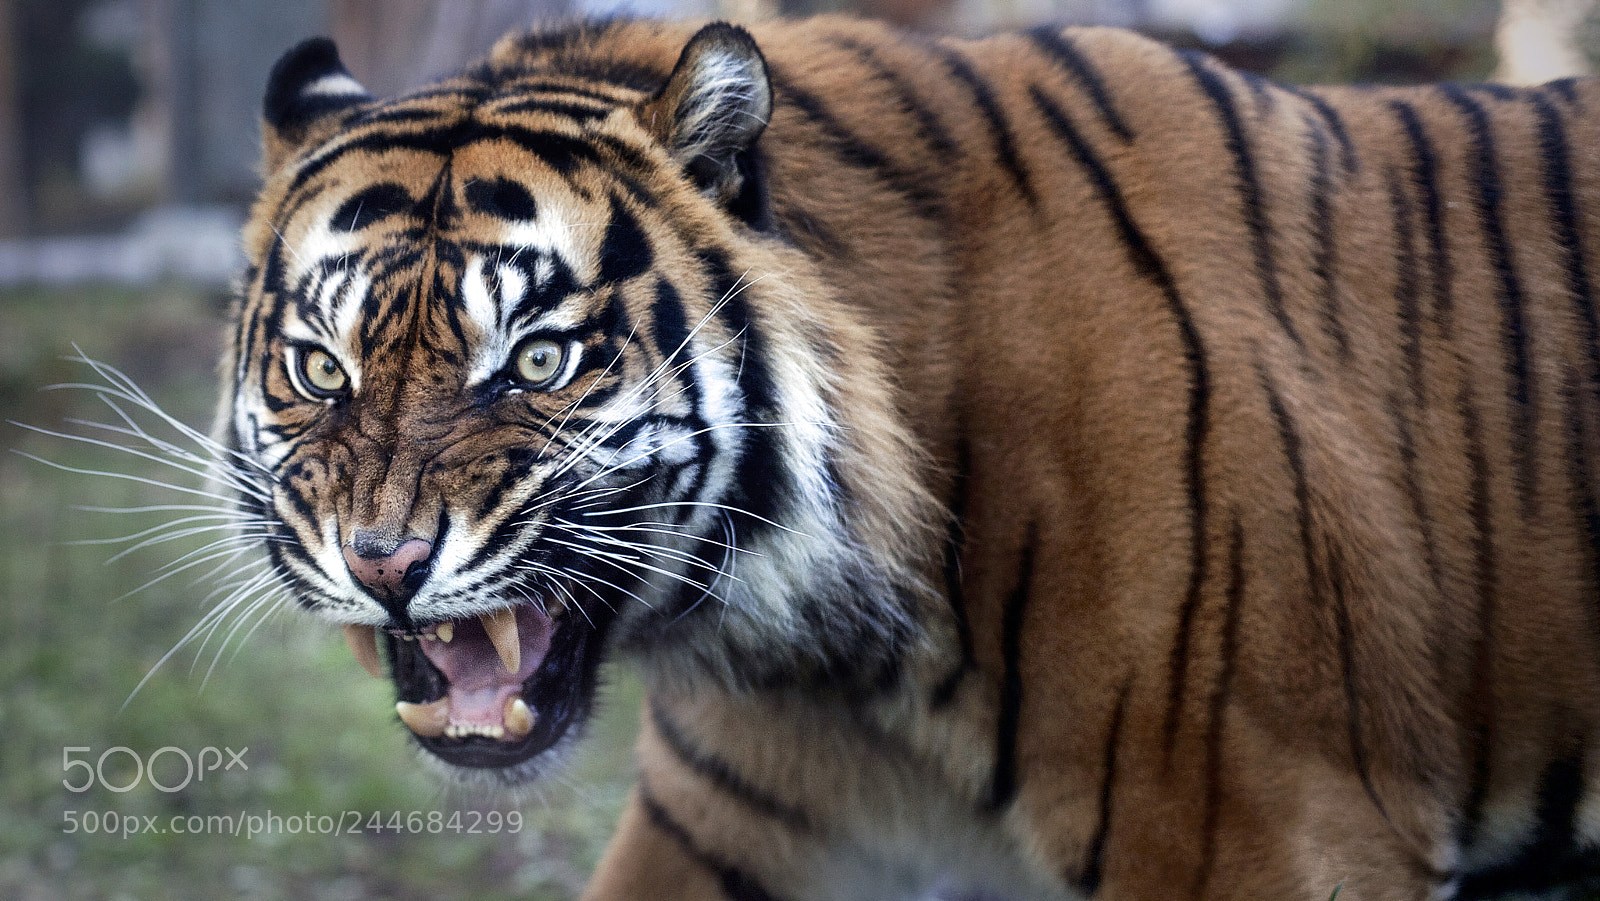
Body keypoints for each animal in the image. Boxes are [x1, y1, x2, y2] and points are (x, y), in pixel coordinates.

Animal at [226, 12, 1600, 900]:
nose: (384, 563)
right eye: (320, 369)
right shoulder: (734, 823)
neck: (833, 654)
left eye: (540, 360)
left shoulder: (1263, 827)